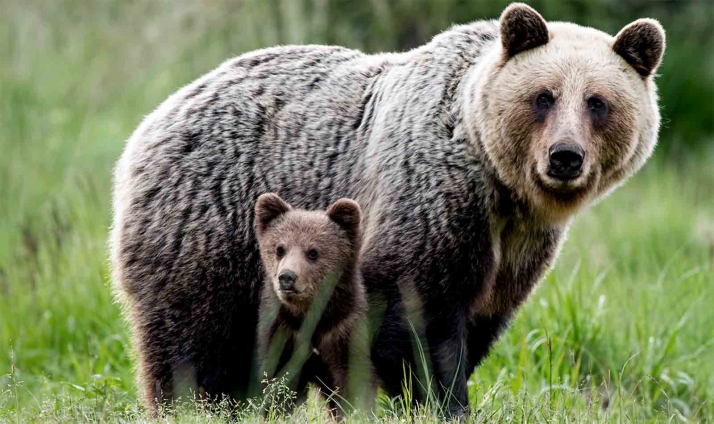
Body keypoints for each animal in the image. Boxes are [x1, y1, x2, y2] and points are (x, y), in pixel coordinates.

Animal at [253, 193, 373, 418]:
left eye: (313, 252)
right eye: (280, 249)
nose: (287, 277)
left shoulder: (342, 331)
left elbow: (351, 382)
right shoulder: (283, 332)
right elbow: (277, 381)